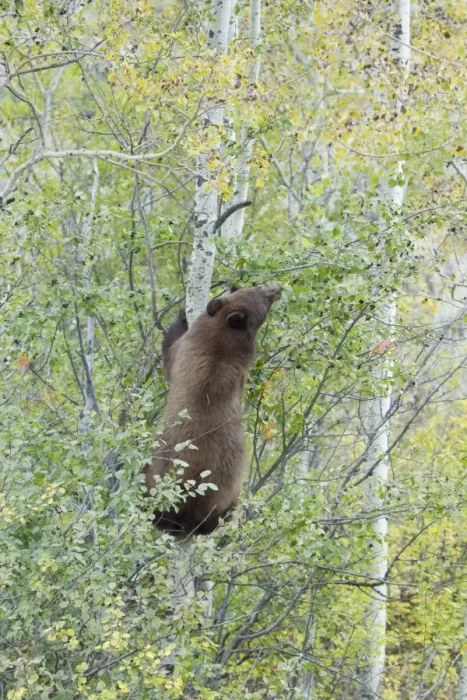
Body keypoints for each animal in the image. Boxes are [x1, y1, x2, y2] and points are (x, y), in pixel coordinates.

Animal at [145, 284, 282, 535]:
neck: (223, 334)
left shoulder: (190, 349)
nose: (277, 288)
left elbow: (169, 355)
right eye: (261, 293)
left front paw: (180, 316)